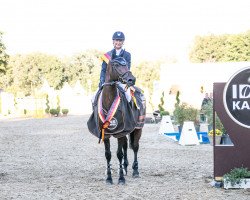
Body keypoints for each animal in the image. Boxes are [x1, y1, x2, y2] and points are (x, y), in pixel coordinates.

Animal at [88, 56, 146, 184]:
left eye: (126, 64)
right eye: (116, 65)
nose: (131, 79)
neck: (108, 102)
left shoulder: (120, 132)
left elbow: (119, 154)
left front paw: (121, 179)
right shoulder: (106, 133)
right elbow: (108, 154)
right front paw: (109, 178)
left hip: (138, 128)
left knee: (135, 147)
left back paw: (135, 171)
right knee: (125, 146)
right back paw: (125, 167)